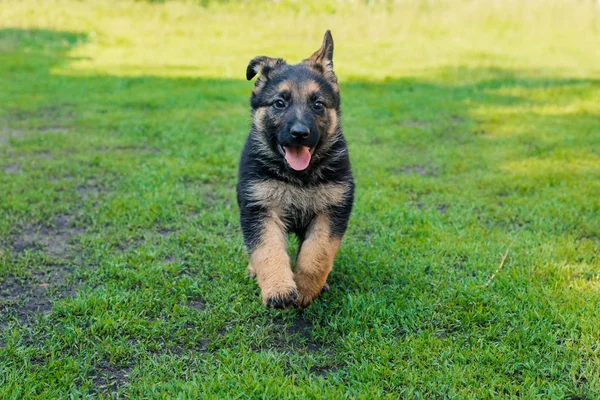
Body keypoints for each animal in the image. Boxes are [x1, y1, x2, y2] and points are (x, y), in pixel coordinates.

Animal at [237, 31, 354, 310]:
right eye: (279, 103)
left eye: (318, 104)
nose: (300, 133)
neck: (298, 177)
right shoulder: (260, 209)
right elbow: (267, 251)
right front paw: (278, 289)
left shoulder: (331, 211)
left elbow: (317, 254)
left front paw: (305, 290)